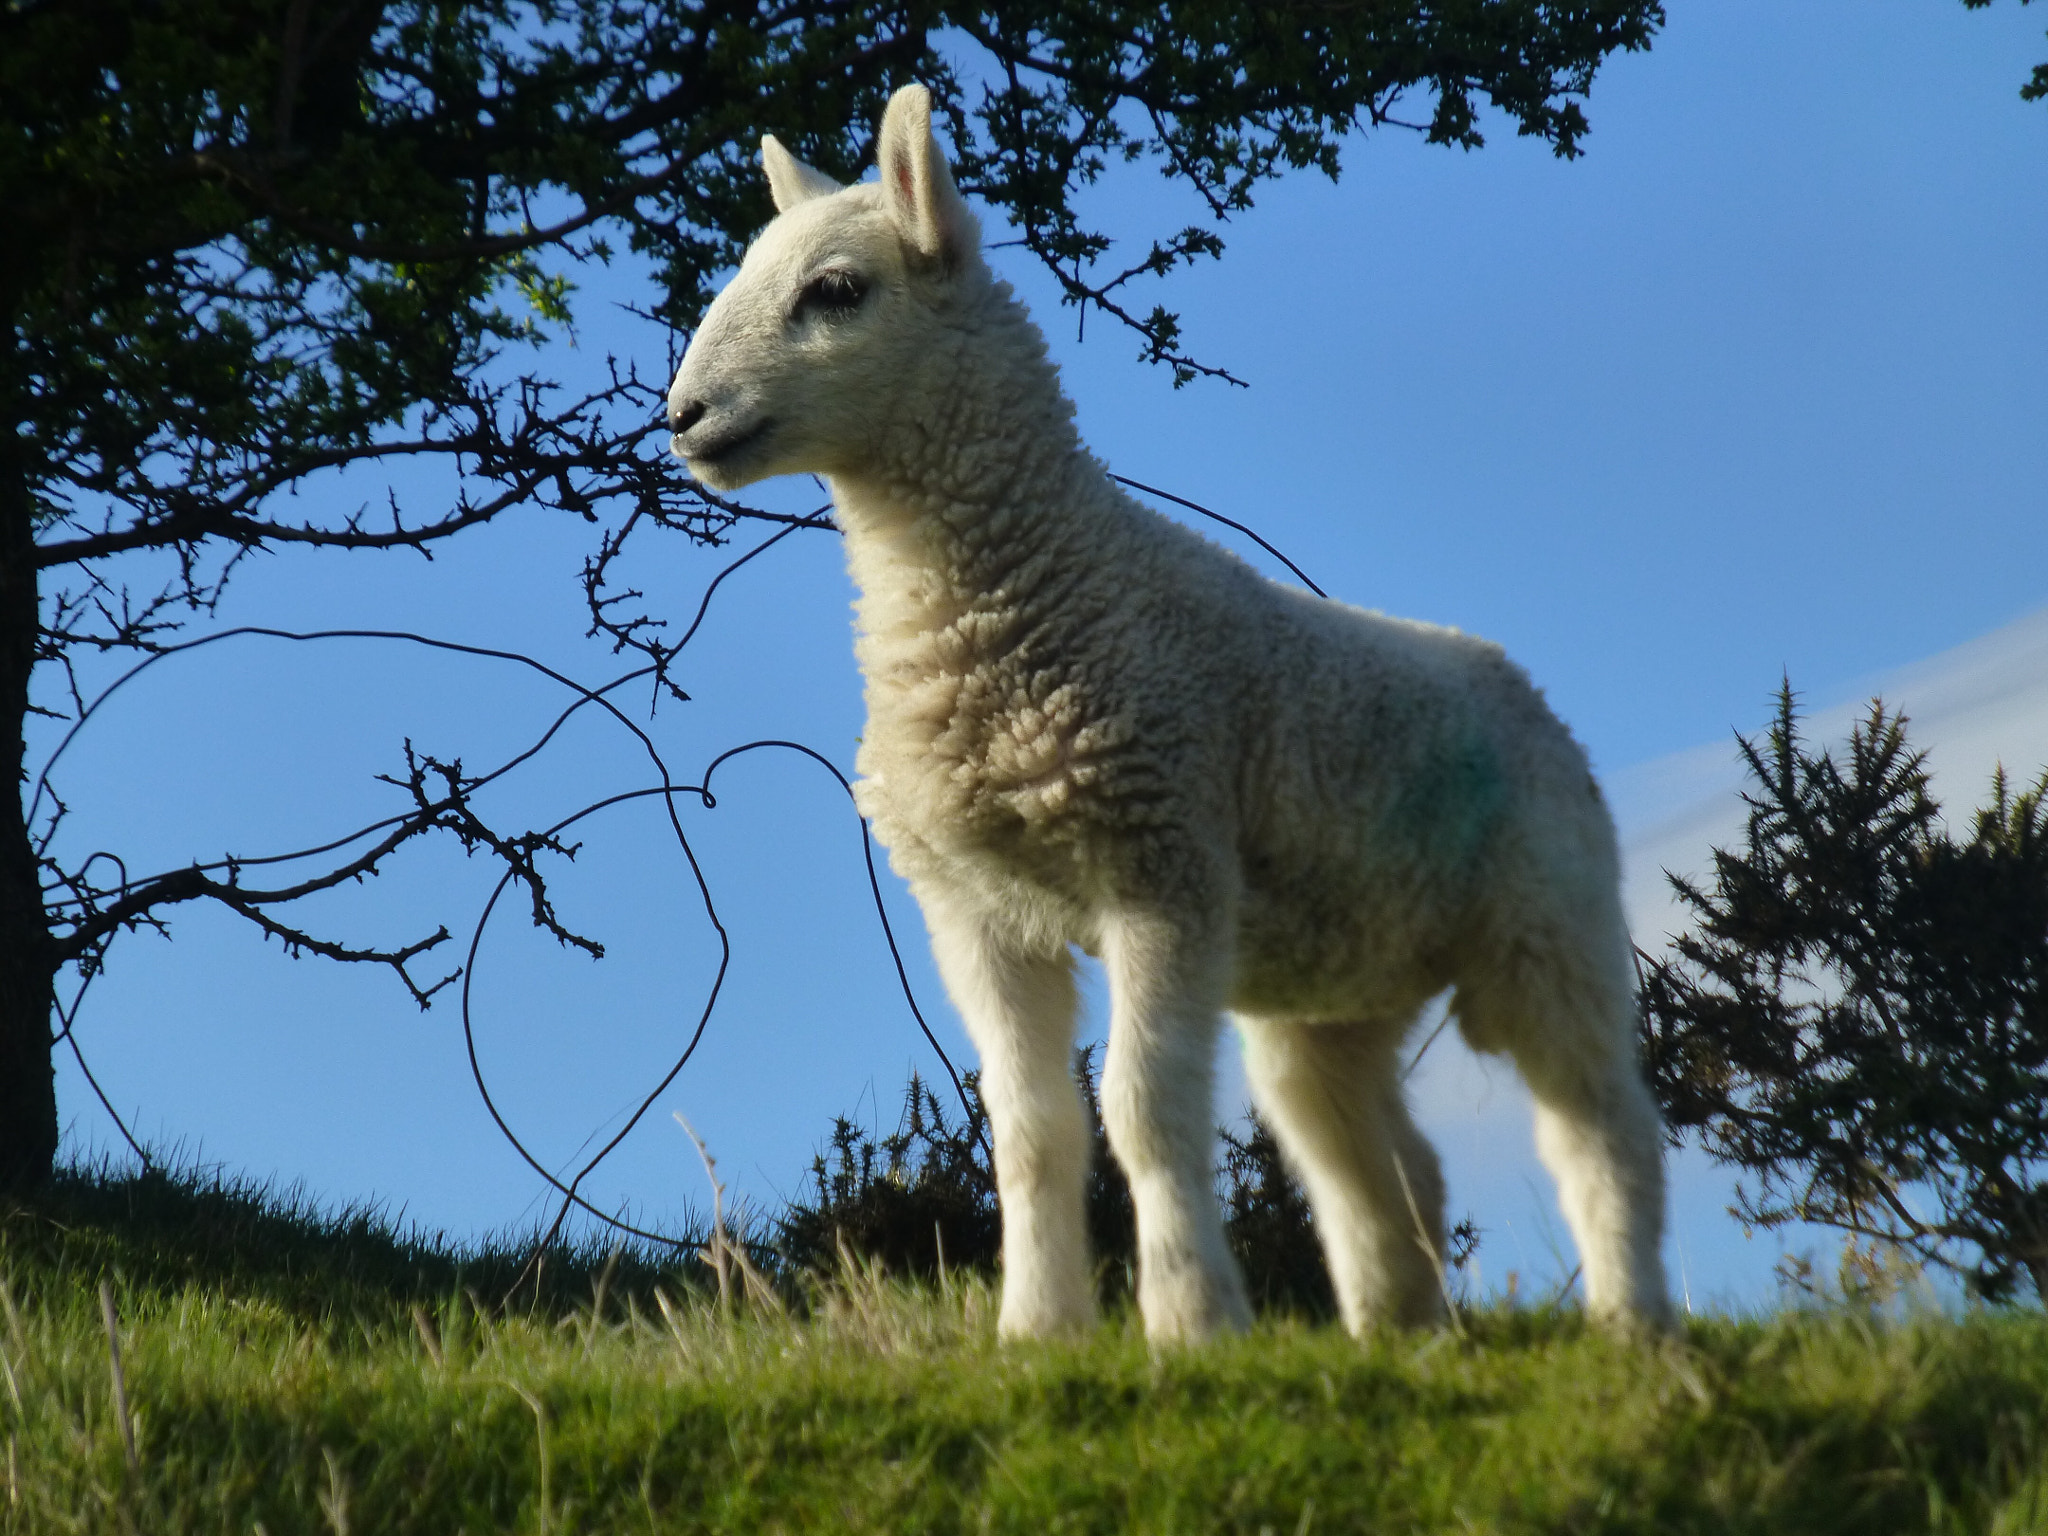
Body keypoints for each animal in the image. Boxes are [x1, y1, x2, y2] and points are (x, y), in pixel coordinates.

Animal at [663, 83, 1671, 1343]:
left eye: (835, 290)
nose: (682, 414)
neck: (1025, 590)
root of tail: (1514, 681)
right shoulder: (971, 910)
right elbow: (1030, 1133)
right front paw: (1036, 1332)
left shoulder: (1161, 862)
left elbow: (1141, 1114)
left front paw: (1191, 1324)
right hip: (1327, 987)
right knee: (1372, 1156)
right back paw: (1401, 1334)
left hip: (1546, 913)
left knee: (1599, 1124)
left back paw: (1633, 1328)